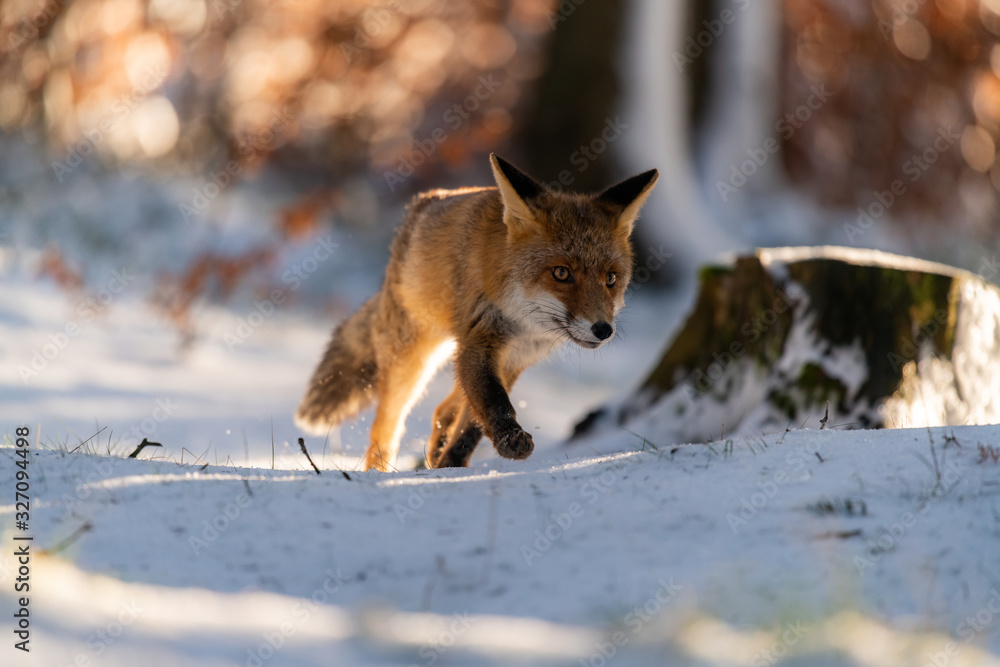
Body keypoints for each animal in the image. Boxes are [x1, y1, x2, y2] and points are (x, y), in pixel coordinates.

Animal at [295, 154, 658, 471]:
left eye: (611, 279)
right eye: (561, 273)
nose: (603, 329)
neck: (525, 323)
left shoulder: (513, 358)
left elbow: (471, 423)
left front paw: (451, 465)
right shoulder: (481, 340)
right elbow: (493, 402)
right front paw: (508, 442)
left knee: (443, 409)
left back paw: (434, 455)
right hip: (413, 361)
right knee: (386, 427)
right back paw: (379, 471)